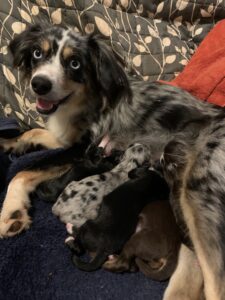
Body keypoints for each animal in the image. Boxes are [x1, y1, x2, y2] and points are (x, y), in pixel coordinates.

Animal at [0, 24, 225, 300]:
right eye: (37, 53)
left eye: (74, 63)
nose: (39, 84)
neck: (83, 101)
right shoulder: (67, 137)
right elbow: (32, 132)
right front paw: (9, 143)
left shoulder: (81, 149)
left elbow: (23, 172)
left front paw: (11, 211)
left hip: (199, 195)